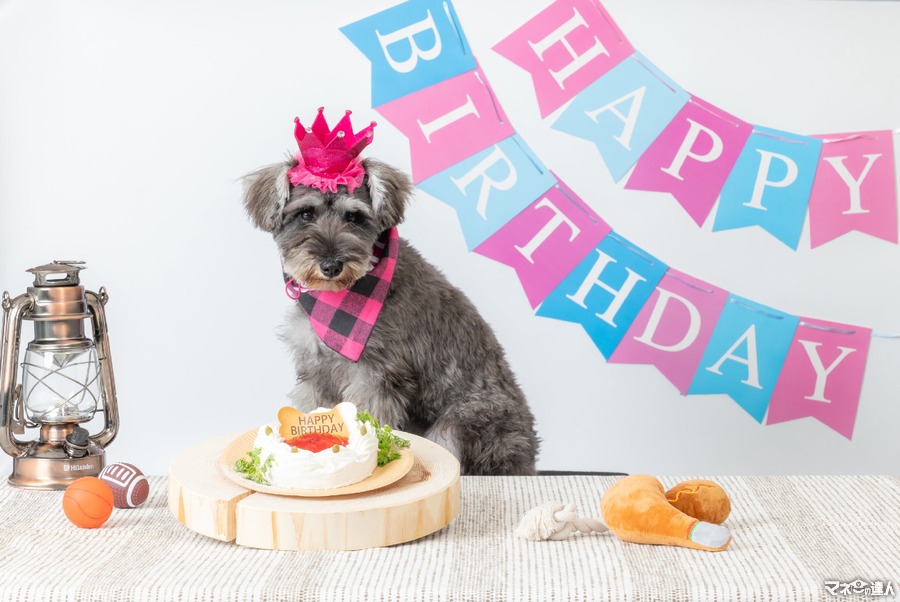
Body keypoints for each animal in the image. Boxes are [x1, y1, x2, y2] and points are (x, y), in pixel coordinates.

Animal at [241, 155, 540, 474]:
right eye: (306, 213)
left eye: (354, 217)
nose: (331, 266)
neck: (337, 302)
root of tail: (528, 461)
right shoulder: (316, 373)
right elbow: (311, 411)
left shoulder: (375, 377)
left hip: (461, 425)